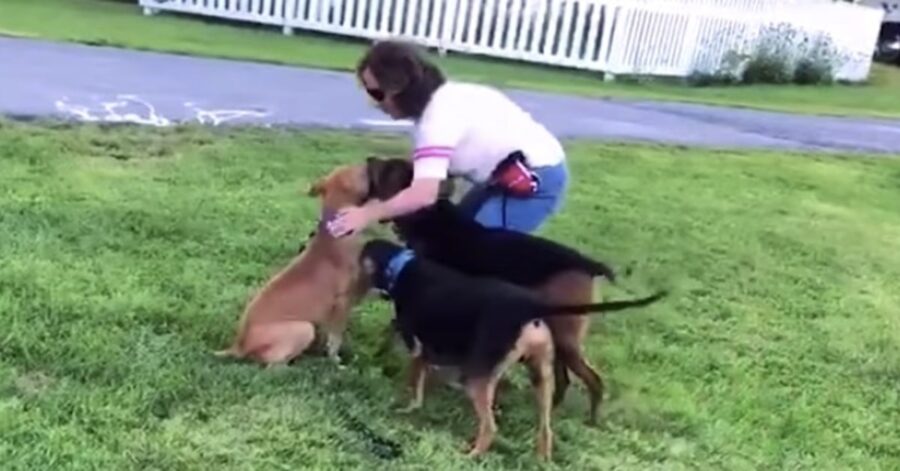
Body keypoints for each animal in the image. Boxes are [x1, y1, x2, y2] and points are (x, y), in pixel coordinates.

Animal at [214, 164, 376, 366]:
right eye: (361, 171)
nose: (371, 163)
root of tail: (238, 346)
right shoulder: (342, 303)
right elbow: (335, 339)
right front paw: (335, 361)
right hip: (304, 329)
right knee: (273, 364)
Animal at [360, 240, 668, 460]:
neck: (403, 267)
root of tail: (531, 309)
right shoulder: (428, 351)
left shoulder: (416, 345)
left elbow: (412, 378)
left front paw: (406, 404)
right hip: (541, 375)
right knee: (546, 427)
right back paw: (542, 459)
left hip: (479, 378)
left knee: (490, 428)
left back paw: (472, 454)